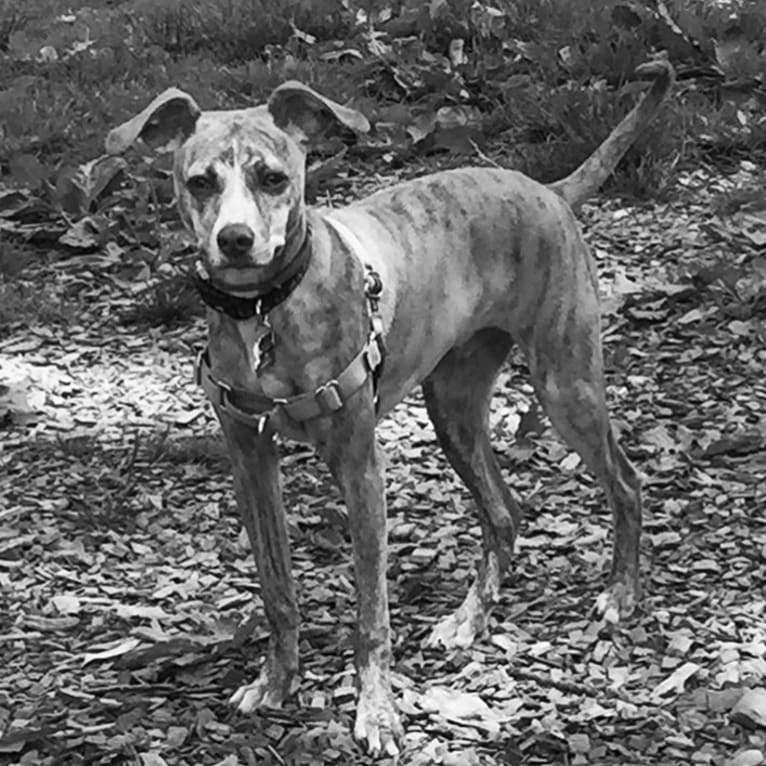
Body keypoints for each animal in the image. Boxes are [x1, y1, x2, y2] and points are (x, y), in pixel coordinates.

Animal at [109, 63, 680, 760]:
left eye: (273, 178)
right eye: (200, 182)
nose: (235, 240)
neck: (268, 312)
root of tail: (546, 188)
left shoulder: (361, 470)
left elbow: (370, 616)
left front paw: (377, 714)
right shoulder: (251, 462)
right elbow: (277, 591)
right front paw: (276, 681)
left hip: (566, 384)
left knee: (624, 482)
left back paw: (621, 594)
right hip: (453, 407)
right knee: (505, 512)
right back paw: (468, 620)